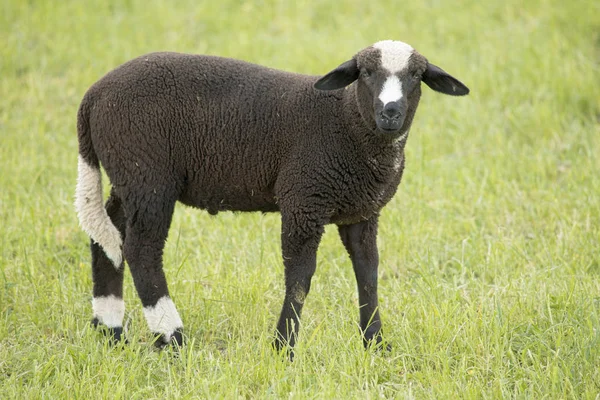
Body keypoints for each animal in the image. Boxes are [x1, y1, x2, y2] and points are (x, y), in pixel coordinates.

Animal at [75, 39, 468, 354]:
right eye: (366, 73)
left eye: (416, 75)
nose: (390, 112)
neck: (346, 122)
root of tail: (93, 95)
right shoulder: (303, 200)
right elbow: (300, 276)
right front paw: (284, 347)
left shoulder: (362, 212)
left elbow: (368, 271)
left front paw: (376, 344)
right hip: (149, 176)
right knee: (141, 250)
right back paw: (172, 338)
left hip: (128, 176)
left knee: (107, 235)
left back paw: (110, 329)